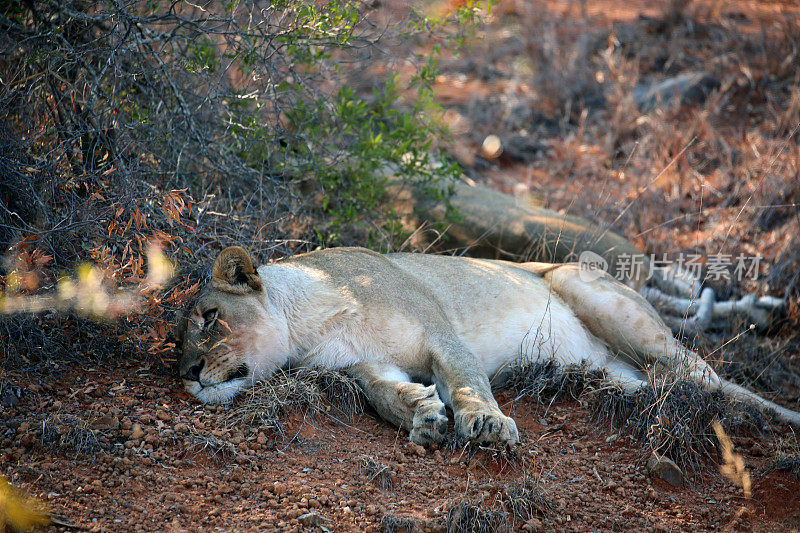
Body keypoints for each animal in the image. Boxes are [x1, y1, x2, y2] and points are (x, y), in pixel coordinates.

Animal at [177, 246, 800, 444]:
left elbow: (465, 378)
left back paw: (766, 415)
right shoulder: (364, 364)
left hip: (587, 288)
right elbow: (386, 394)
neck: (308, 323)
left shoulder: (440, 329)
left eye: (209, 317)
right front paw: (422, 417)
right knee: (658, 383)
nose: (186, 373)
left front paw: (486, 423)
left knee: (707, 374)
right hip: (613, 370)